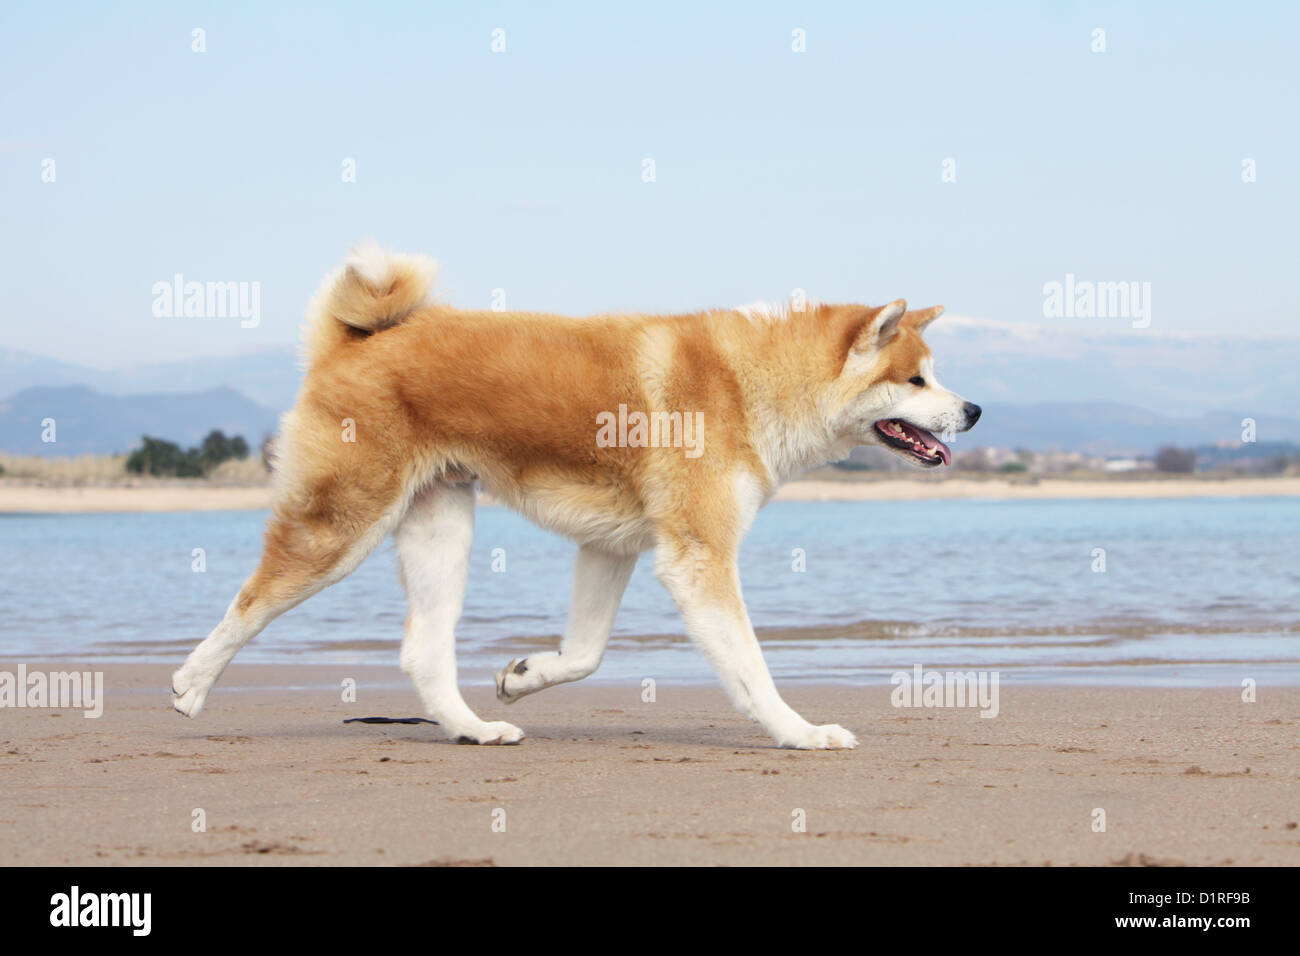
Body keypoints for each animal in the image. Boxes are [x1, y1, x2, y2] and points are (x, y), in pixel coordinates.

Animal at [175, 243, 982, 749]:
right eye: (916, 380)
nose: (974, 410)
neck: (752, 381)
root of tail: (354, 341)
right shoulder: (699, 558)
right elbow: (752, 668)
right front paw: (801, 732)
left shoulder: (612, 547)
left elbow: (586, 655)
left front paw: (525, 675)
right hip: (340, 527)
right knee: (250, 602)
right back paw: (190, 683)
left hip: (441, 530)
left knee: (422, 654)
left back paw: (474, 728)